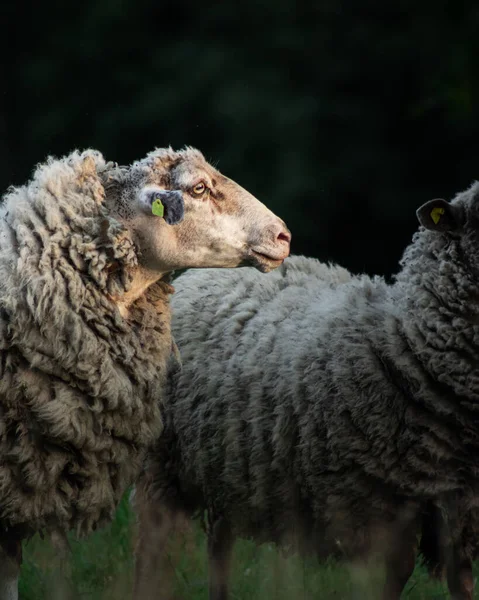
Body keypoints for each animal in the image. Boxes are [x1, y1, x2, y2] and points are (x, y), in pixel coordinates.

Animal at [135, 189, 479, 600]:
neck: (404, 344)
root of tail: (208, 273)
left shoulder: (460, 514)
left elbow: (461, 584)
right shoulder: (370, 515)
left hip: (226, 465)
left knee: (220, 545)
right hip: (161, 468)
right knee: (155, 553)